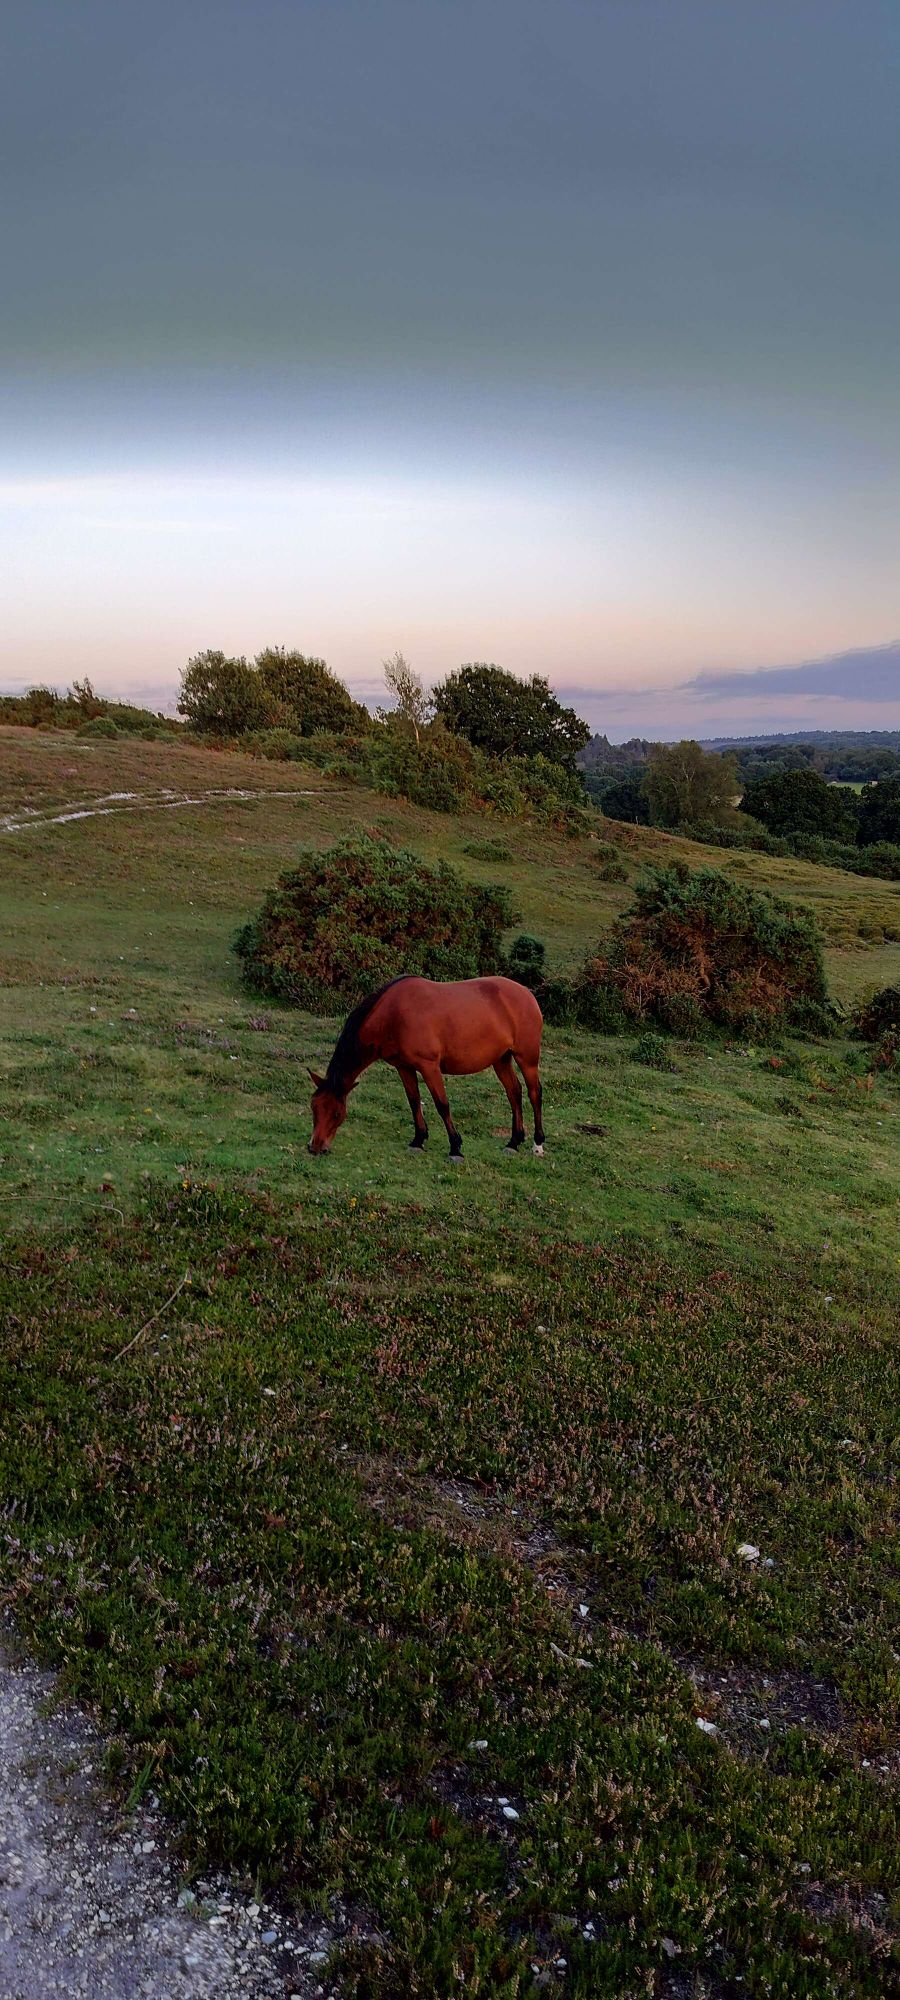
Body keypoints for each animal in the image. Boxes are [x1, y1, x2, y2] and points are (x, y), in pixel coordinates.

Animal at [306, 972, 544, 1160]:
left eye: (337, 1113)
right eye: (314, 1107)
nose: (315, 1147)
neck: (394, 1015)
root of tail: (526, 993)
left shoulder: (429, 1067)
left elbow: (442, 1104)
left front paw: (455, 1147)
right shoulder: (404, 1067)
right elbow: (414, 1101)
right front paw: (418, 1140)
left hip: (527, 1058)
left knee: (534, 1093)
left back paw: (538, 1144)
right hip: (501, 1060)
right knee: (514, 1092)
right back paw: (513, 1142)